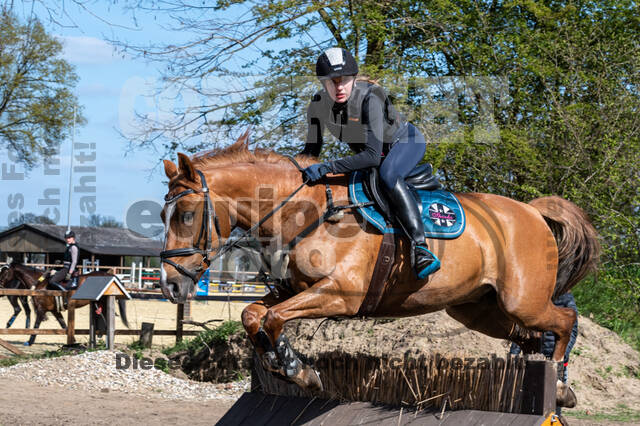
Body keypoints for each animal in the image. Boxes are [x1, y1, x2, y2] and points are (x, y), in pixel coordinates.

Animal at [2, 260, 130, 346]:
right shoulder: (55, 311)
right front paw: (73, 340)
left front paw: (29, 341)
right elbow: (63, 324)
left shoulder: (41, 309)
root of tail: (110, 275)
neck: (40, 284)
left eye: (4, 272)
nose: (2, 286)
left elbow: (36, 325)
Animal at [160, 136, 600, 406]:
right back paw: (551, 385)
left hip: (522, 300)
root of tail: (532, 212)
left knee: (563, 322)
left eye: (185, 214)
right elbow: (255, 315)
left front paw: (296, 371)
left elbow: (271, 318)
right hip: (480, 310)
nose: (170, 285)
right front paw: (286, 365)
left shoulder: (340, 294)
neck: (305, 211)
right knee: (531, 337)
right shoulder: (293, 289)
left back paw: (561, 385)